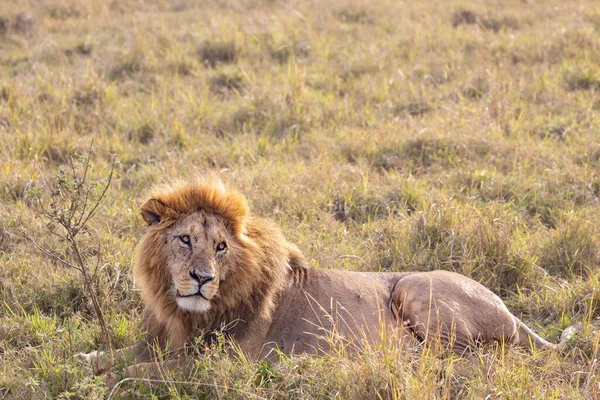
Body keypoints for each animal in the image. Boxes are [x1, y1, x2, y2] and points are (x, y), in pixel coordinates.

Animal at [77, 178, 568, 388]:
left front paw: (109, 377)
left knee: (453, 360)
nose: (202, 278)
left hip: (414, 289)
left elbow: (141, 371)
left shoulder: (219, 361)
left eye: (220, 247)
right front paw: (85, 359)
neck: (187, 313)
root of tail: (509, 309)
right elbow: (119, 356)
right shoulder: (164, 340)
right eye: (185, 240)